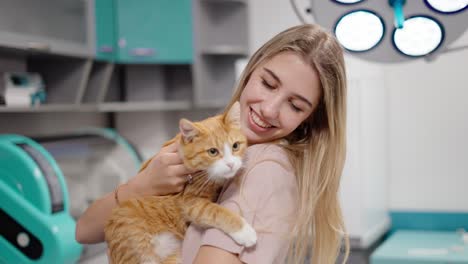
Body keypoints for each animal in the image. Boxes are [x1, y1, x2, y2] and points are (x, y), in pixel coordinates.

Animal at [105, 102, 256, 262]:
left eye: (235, 146)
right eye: (212, 152)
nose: (231, 164)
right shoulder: (190, 203)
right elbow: (217, 211)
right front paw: (244, 231)